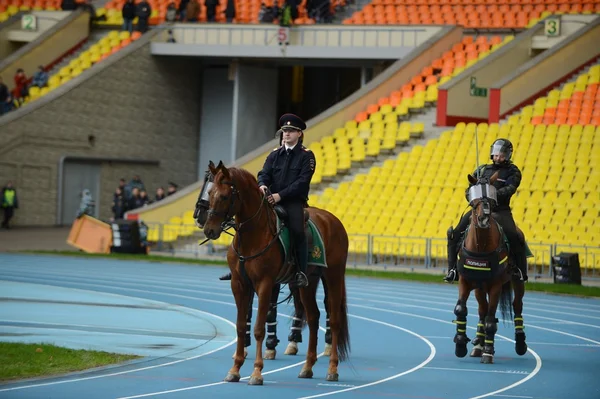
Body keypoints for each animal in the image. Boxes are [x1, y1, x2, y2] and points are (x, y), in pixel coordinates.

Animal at [203, 161, 352, 386]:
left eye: (225, 196)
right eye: (210, 193)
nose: (208, 230)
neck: (254, 234)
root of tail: (333, 220)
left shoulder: (265, 284)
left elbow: (258, 328)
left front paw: (256, 372)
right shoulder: (239, 284)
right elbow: (241, 326)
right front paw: (235, 369)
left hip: (333, 277)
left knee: (333, 321)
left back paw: (332, 368)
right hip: (308, 283)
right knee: (314, 317)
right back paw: (307, 367)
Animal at [452, 170, 528, 364]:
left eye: (492, 200)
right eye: (475, 200)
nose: (483, 218)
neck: (481, 245)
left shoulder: (495, 286)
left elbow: (490, 321)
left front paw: (488, 351)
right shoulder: (465, 282)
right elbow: (461, 309)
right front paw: (461, 343)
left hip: (517, 281)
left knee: (516, 306)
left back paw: (519, 343)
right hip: (479, 288)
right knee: (482, 310)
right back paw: (478, 344)